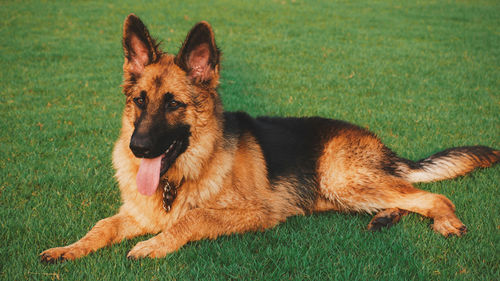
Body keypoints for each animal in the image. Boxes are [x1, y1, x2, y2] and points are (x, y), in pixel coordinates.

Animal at [40, 14, 500, 262]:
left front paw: (154, 245)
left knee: (431, 196)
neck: (182, 174)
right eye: (139, 101)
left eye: (173, 104)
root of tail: (382, 146)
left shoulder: (253, 213)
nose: (138, 148)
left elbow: (193, 218)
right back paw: (385, 217)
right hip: (339, 192)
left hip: (341, 180)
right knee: (403, 197)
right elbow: (100, 227)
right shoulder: (135, 213)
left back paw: (445, 220)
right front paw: (67, 249)